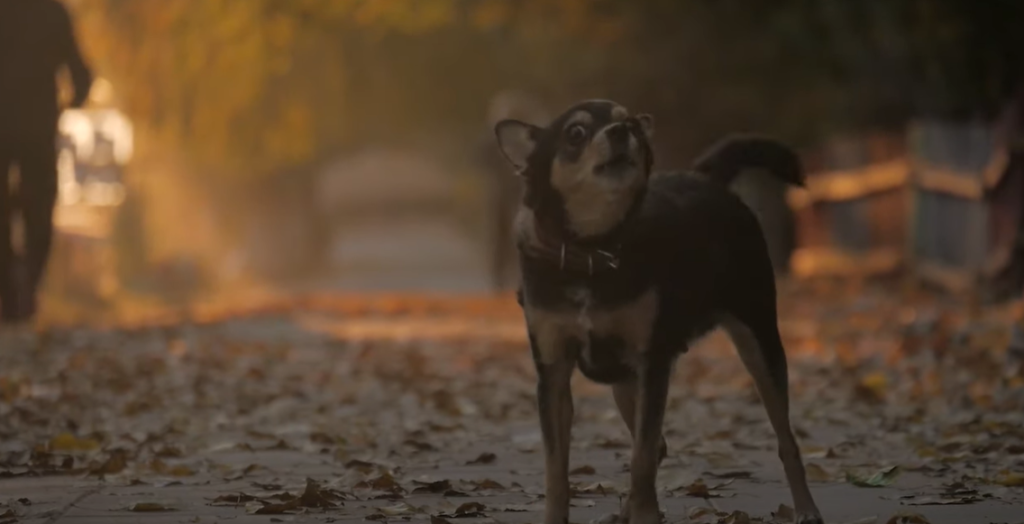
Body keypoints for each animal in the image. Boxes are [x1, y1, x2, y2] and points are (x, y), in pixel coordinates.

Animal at [493, 99, 823, 524]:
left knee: (785, 439)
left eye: (632, 123)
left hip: (759, 344)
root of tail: (709, 180)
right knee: (657, 443)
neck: (593, 251)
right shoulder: (553, 374)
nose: (622, 131)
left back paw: (807, 508)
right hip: (623, 379)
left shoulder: (652, 363)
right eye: (575, 133)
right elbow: (557, 470)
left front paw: (646, 515)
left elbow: (642, 458)